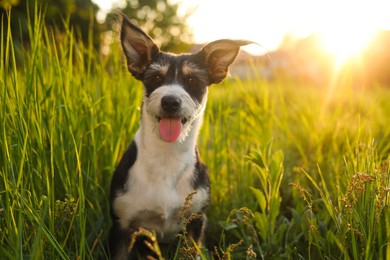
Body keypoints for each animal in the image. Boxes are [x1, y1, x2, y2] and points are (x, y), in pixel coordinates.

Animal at [108, 13, 251, 258]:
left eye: (193, 81)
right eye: (156, 77)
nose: (170, 101)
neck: (167, 155)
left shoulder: (195, 222)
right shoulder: (121, 225)